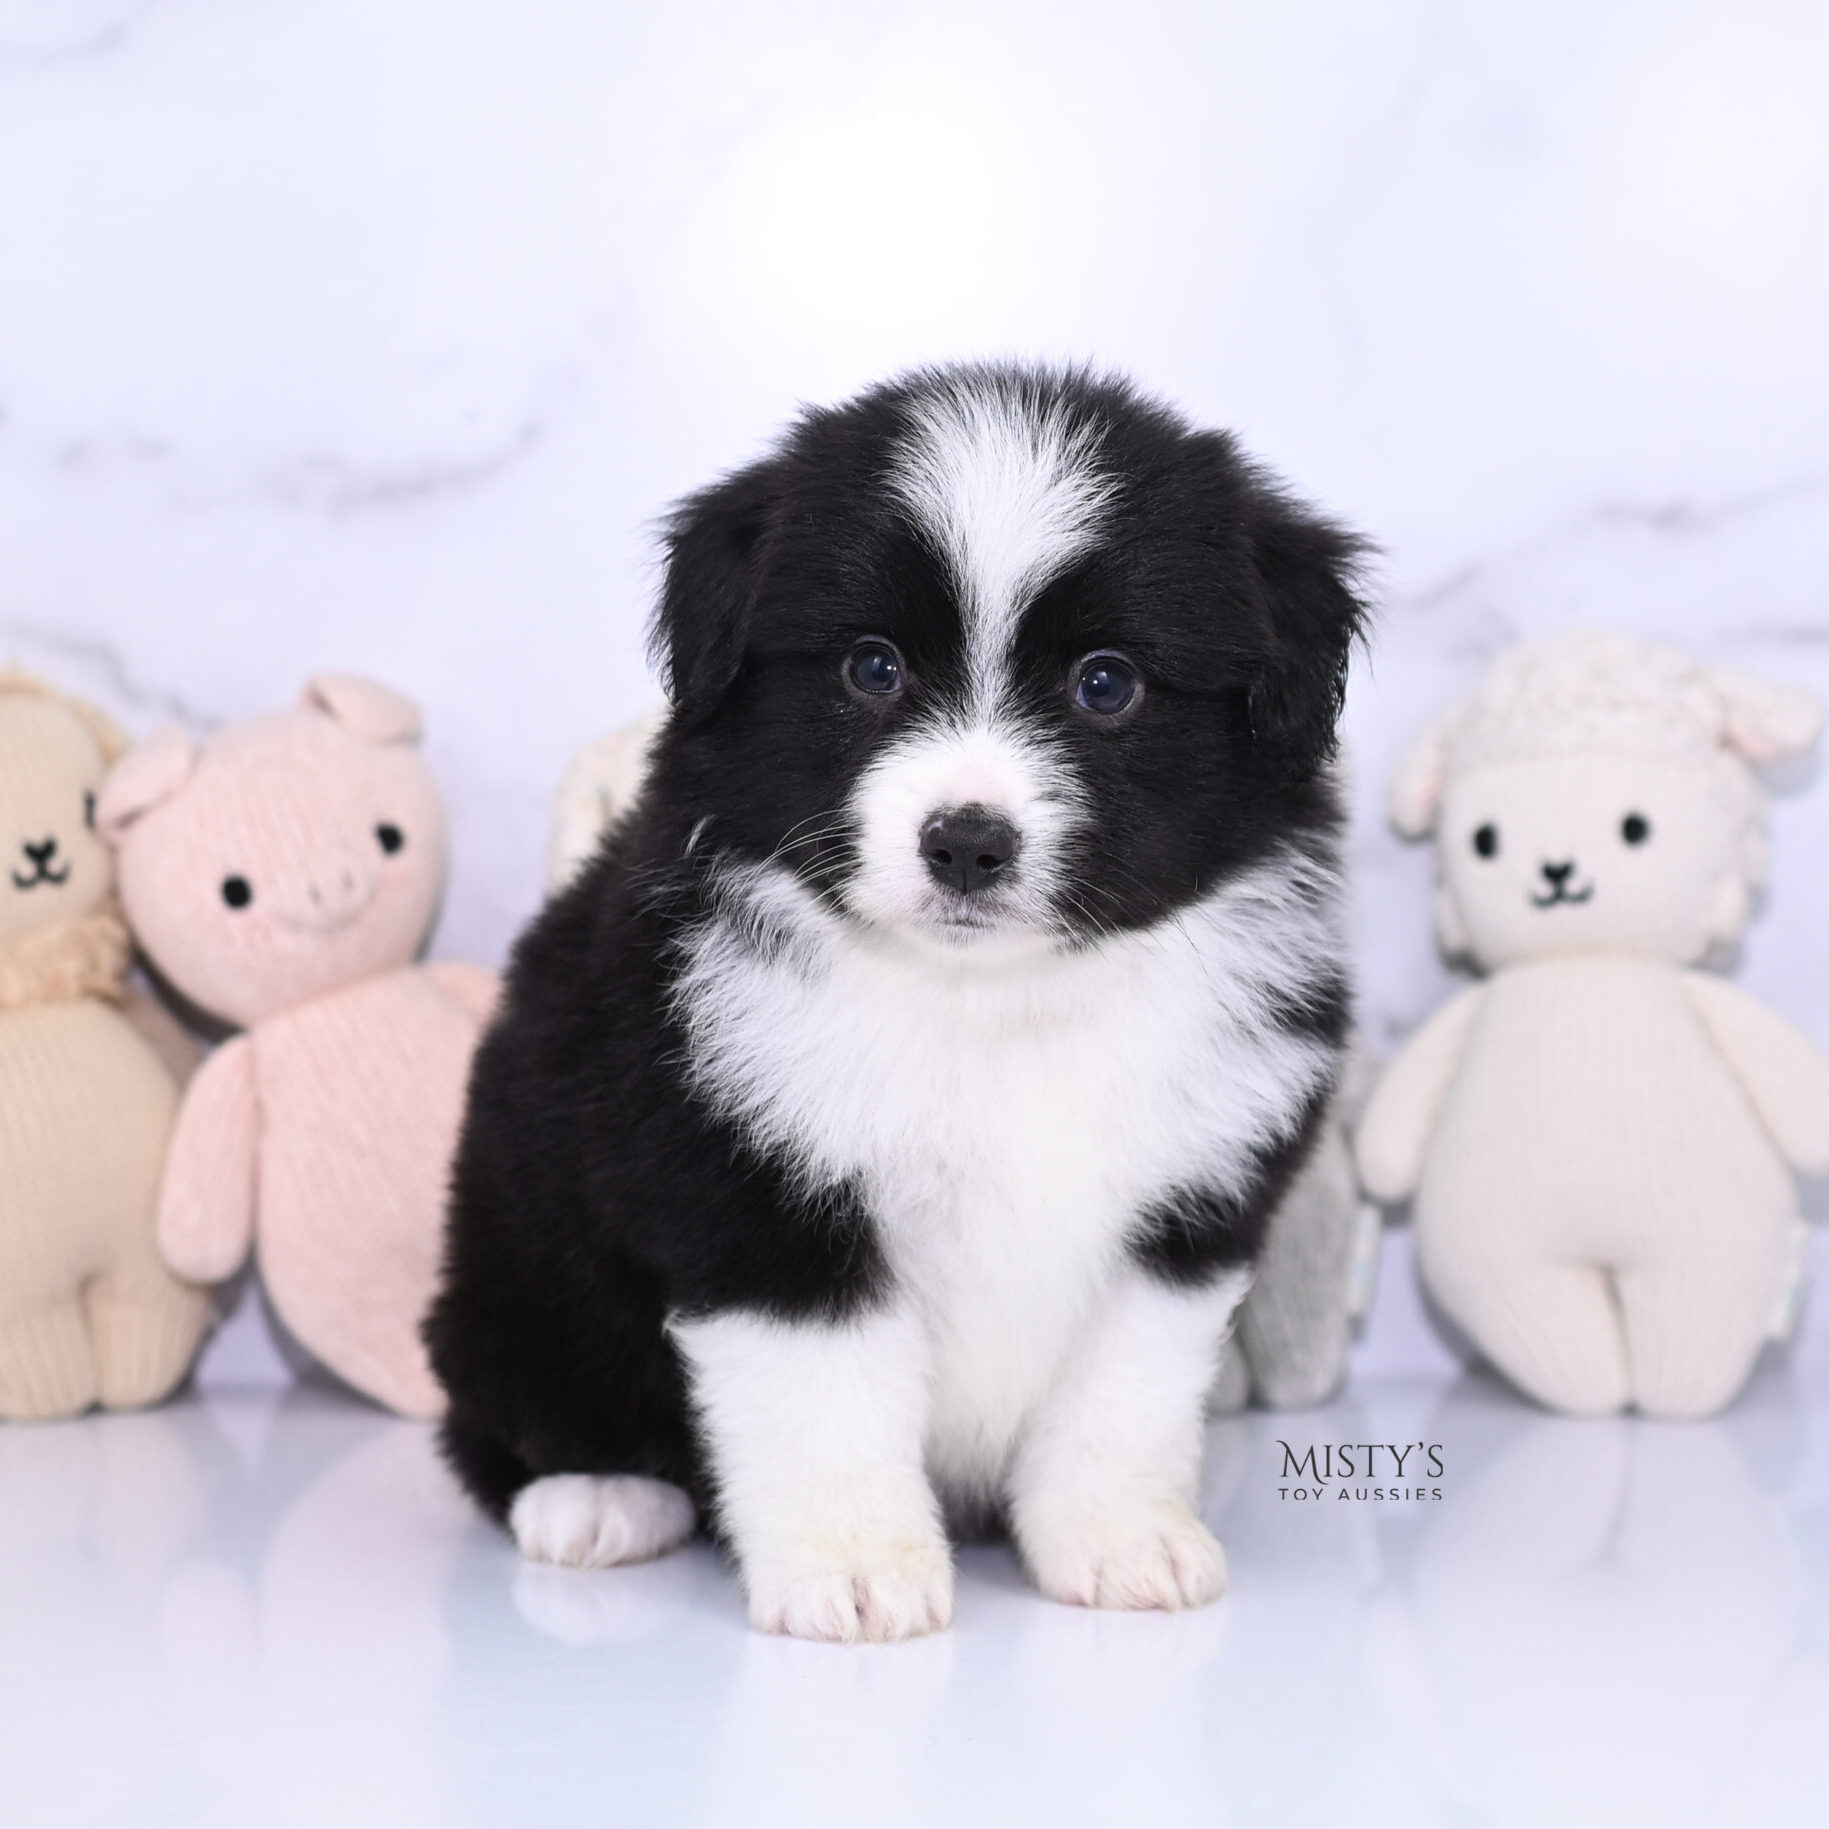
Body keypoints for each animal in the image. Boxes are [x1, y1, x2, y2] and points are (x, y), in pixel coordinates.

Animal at [427, 356, 1368, 1646]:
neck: (990, 1000)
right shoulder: (749, 1183)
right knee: (503, 1401)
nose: (966, 841)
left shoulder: (1188, 1207)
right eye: (871, 667)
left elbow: (1121, 1388)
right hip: (518, 1246)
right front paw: (855, 1563)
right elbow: (825, 1390)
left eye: (1107, 684)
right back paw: (596, 1495)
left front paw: (1115, 1538)